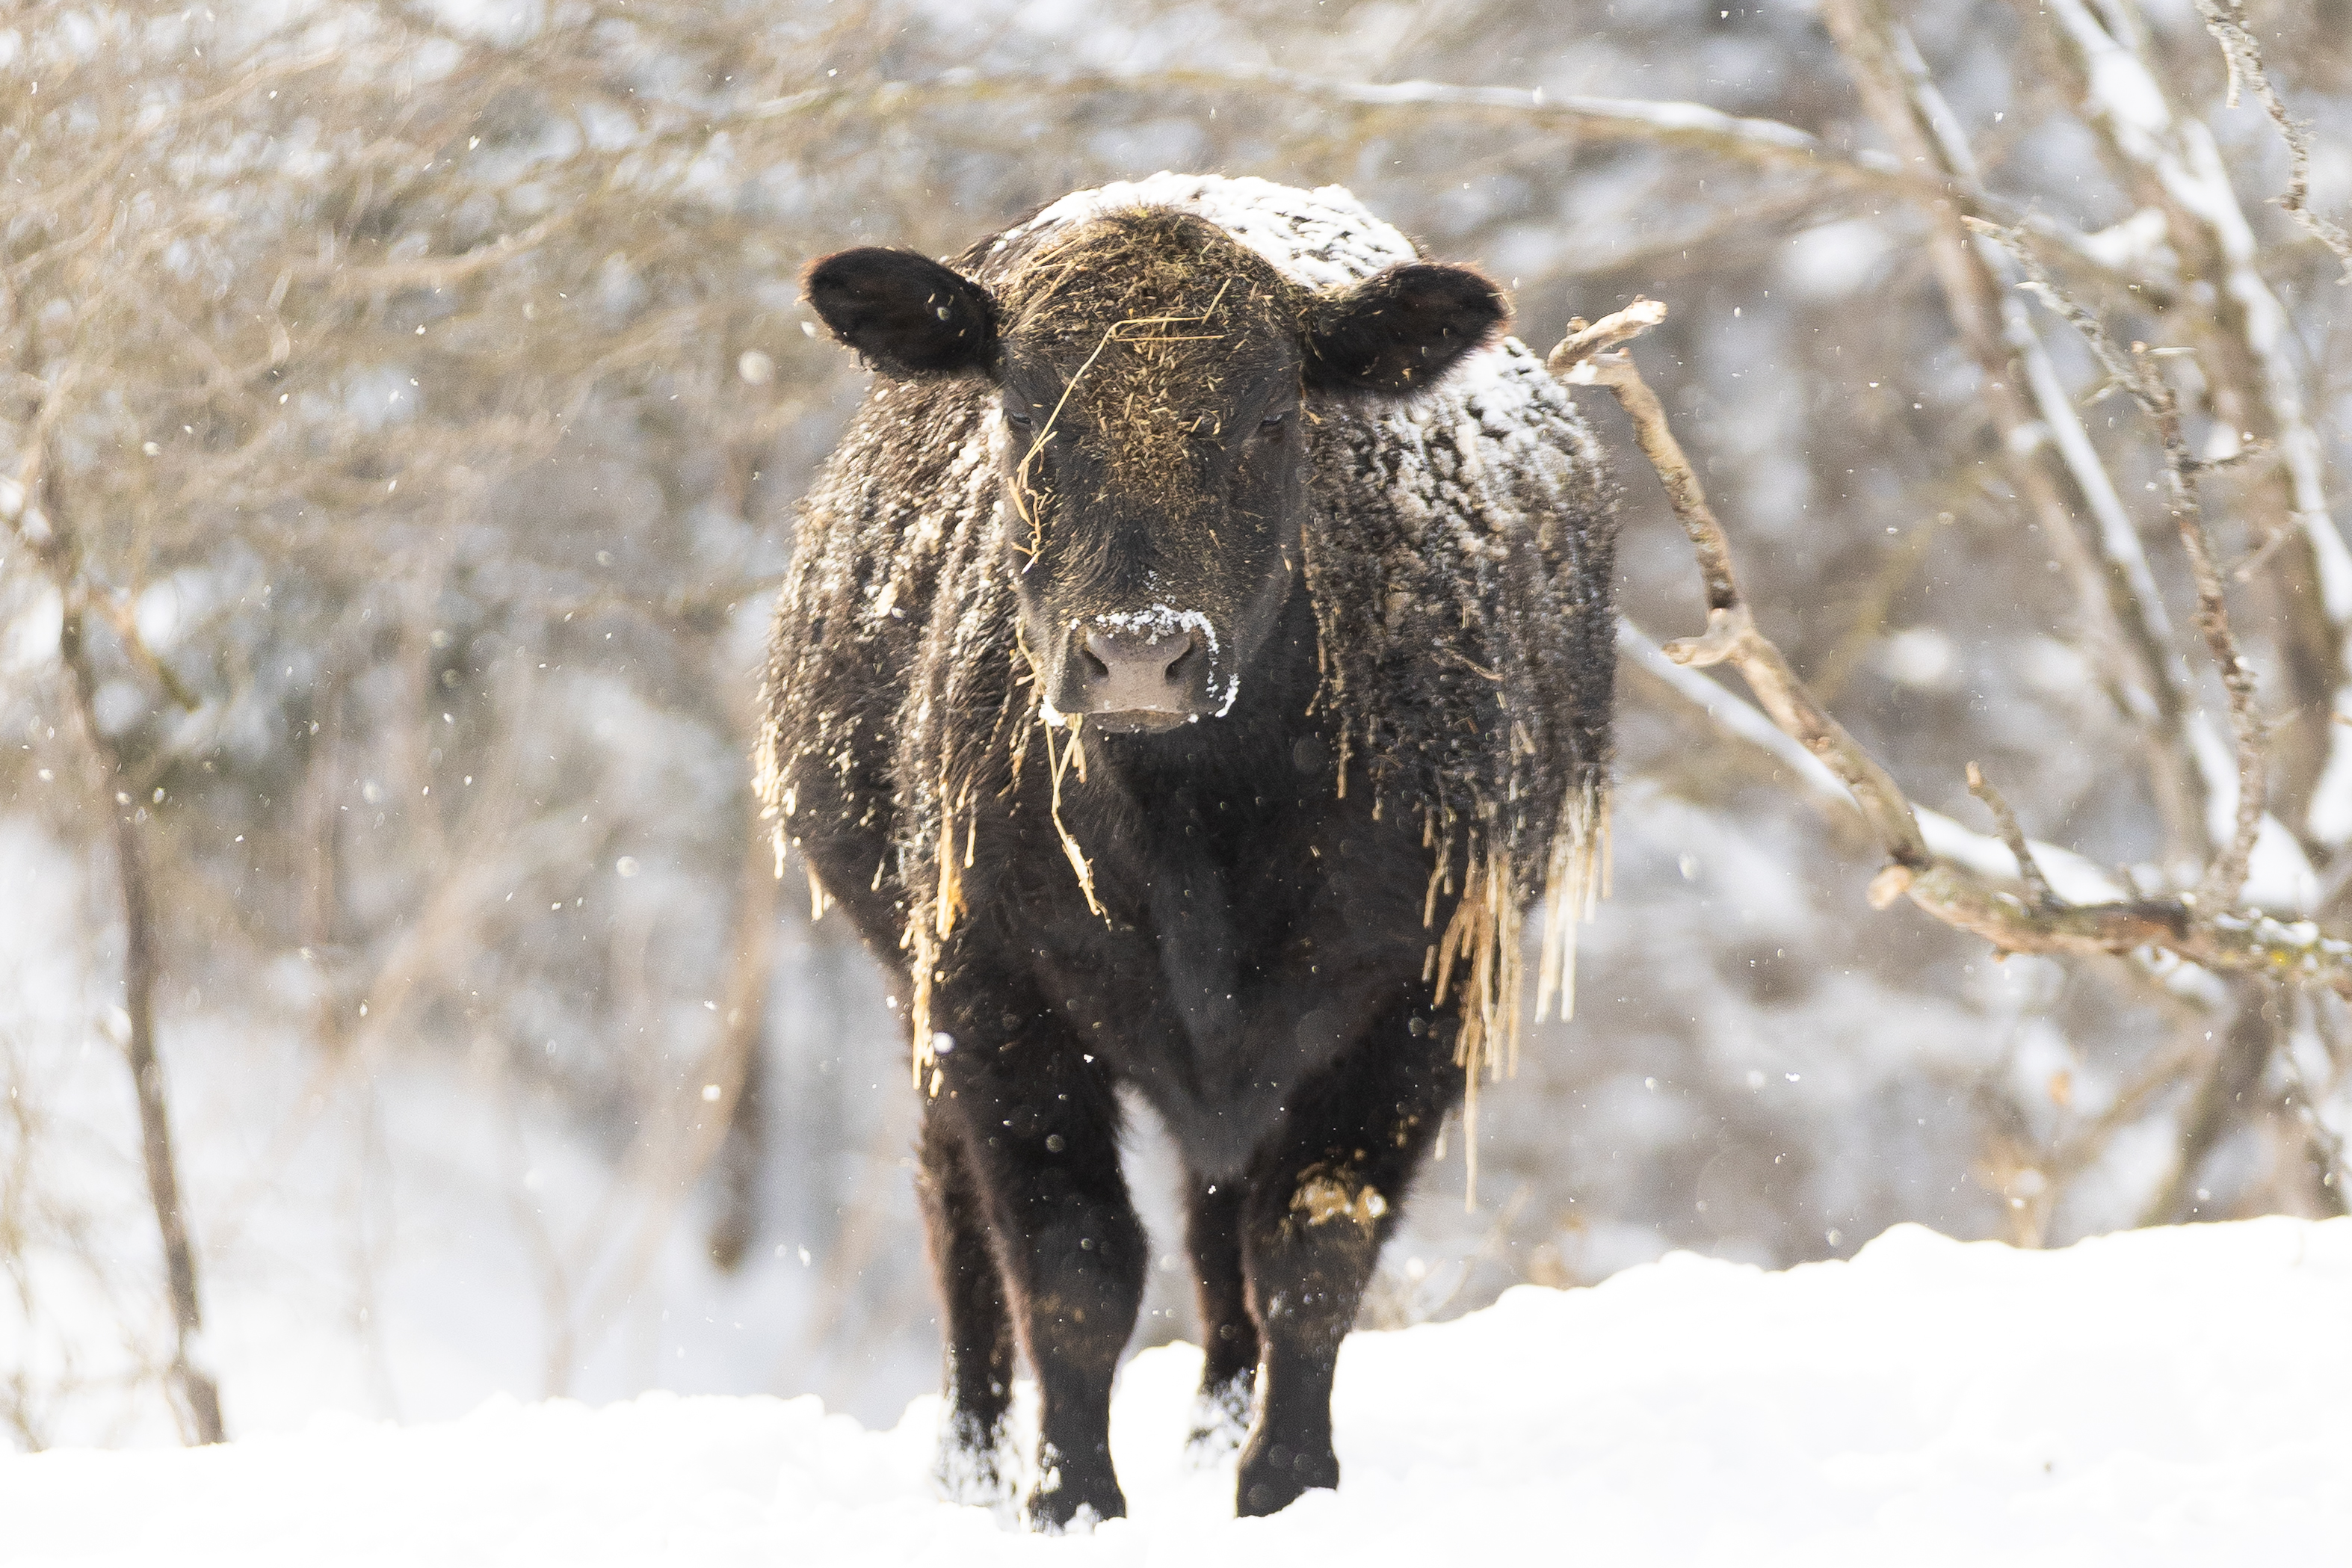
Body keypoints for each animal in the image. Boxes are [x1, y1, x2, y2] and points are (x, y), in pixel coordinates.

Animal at [759, 173, 1617, 1527]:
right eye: (1023, 407)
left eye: (1271, 418)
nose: (1138, 652)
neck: (1193, 832)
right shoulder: (994, 995)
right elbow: (1071, 1265)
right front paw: (1069, 1498)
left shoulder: (1414, 996)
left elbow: (1313, 1243)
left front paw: (1286, 1482)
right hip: (920, 989)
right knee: (957, 1208)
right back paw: (970, 1462)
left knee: (1224, 1229)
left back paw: (1217, 1435)